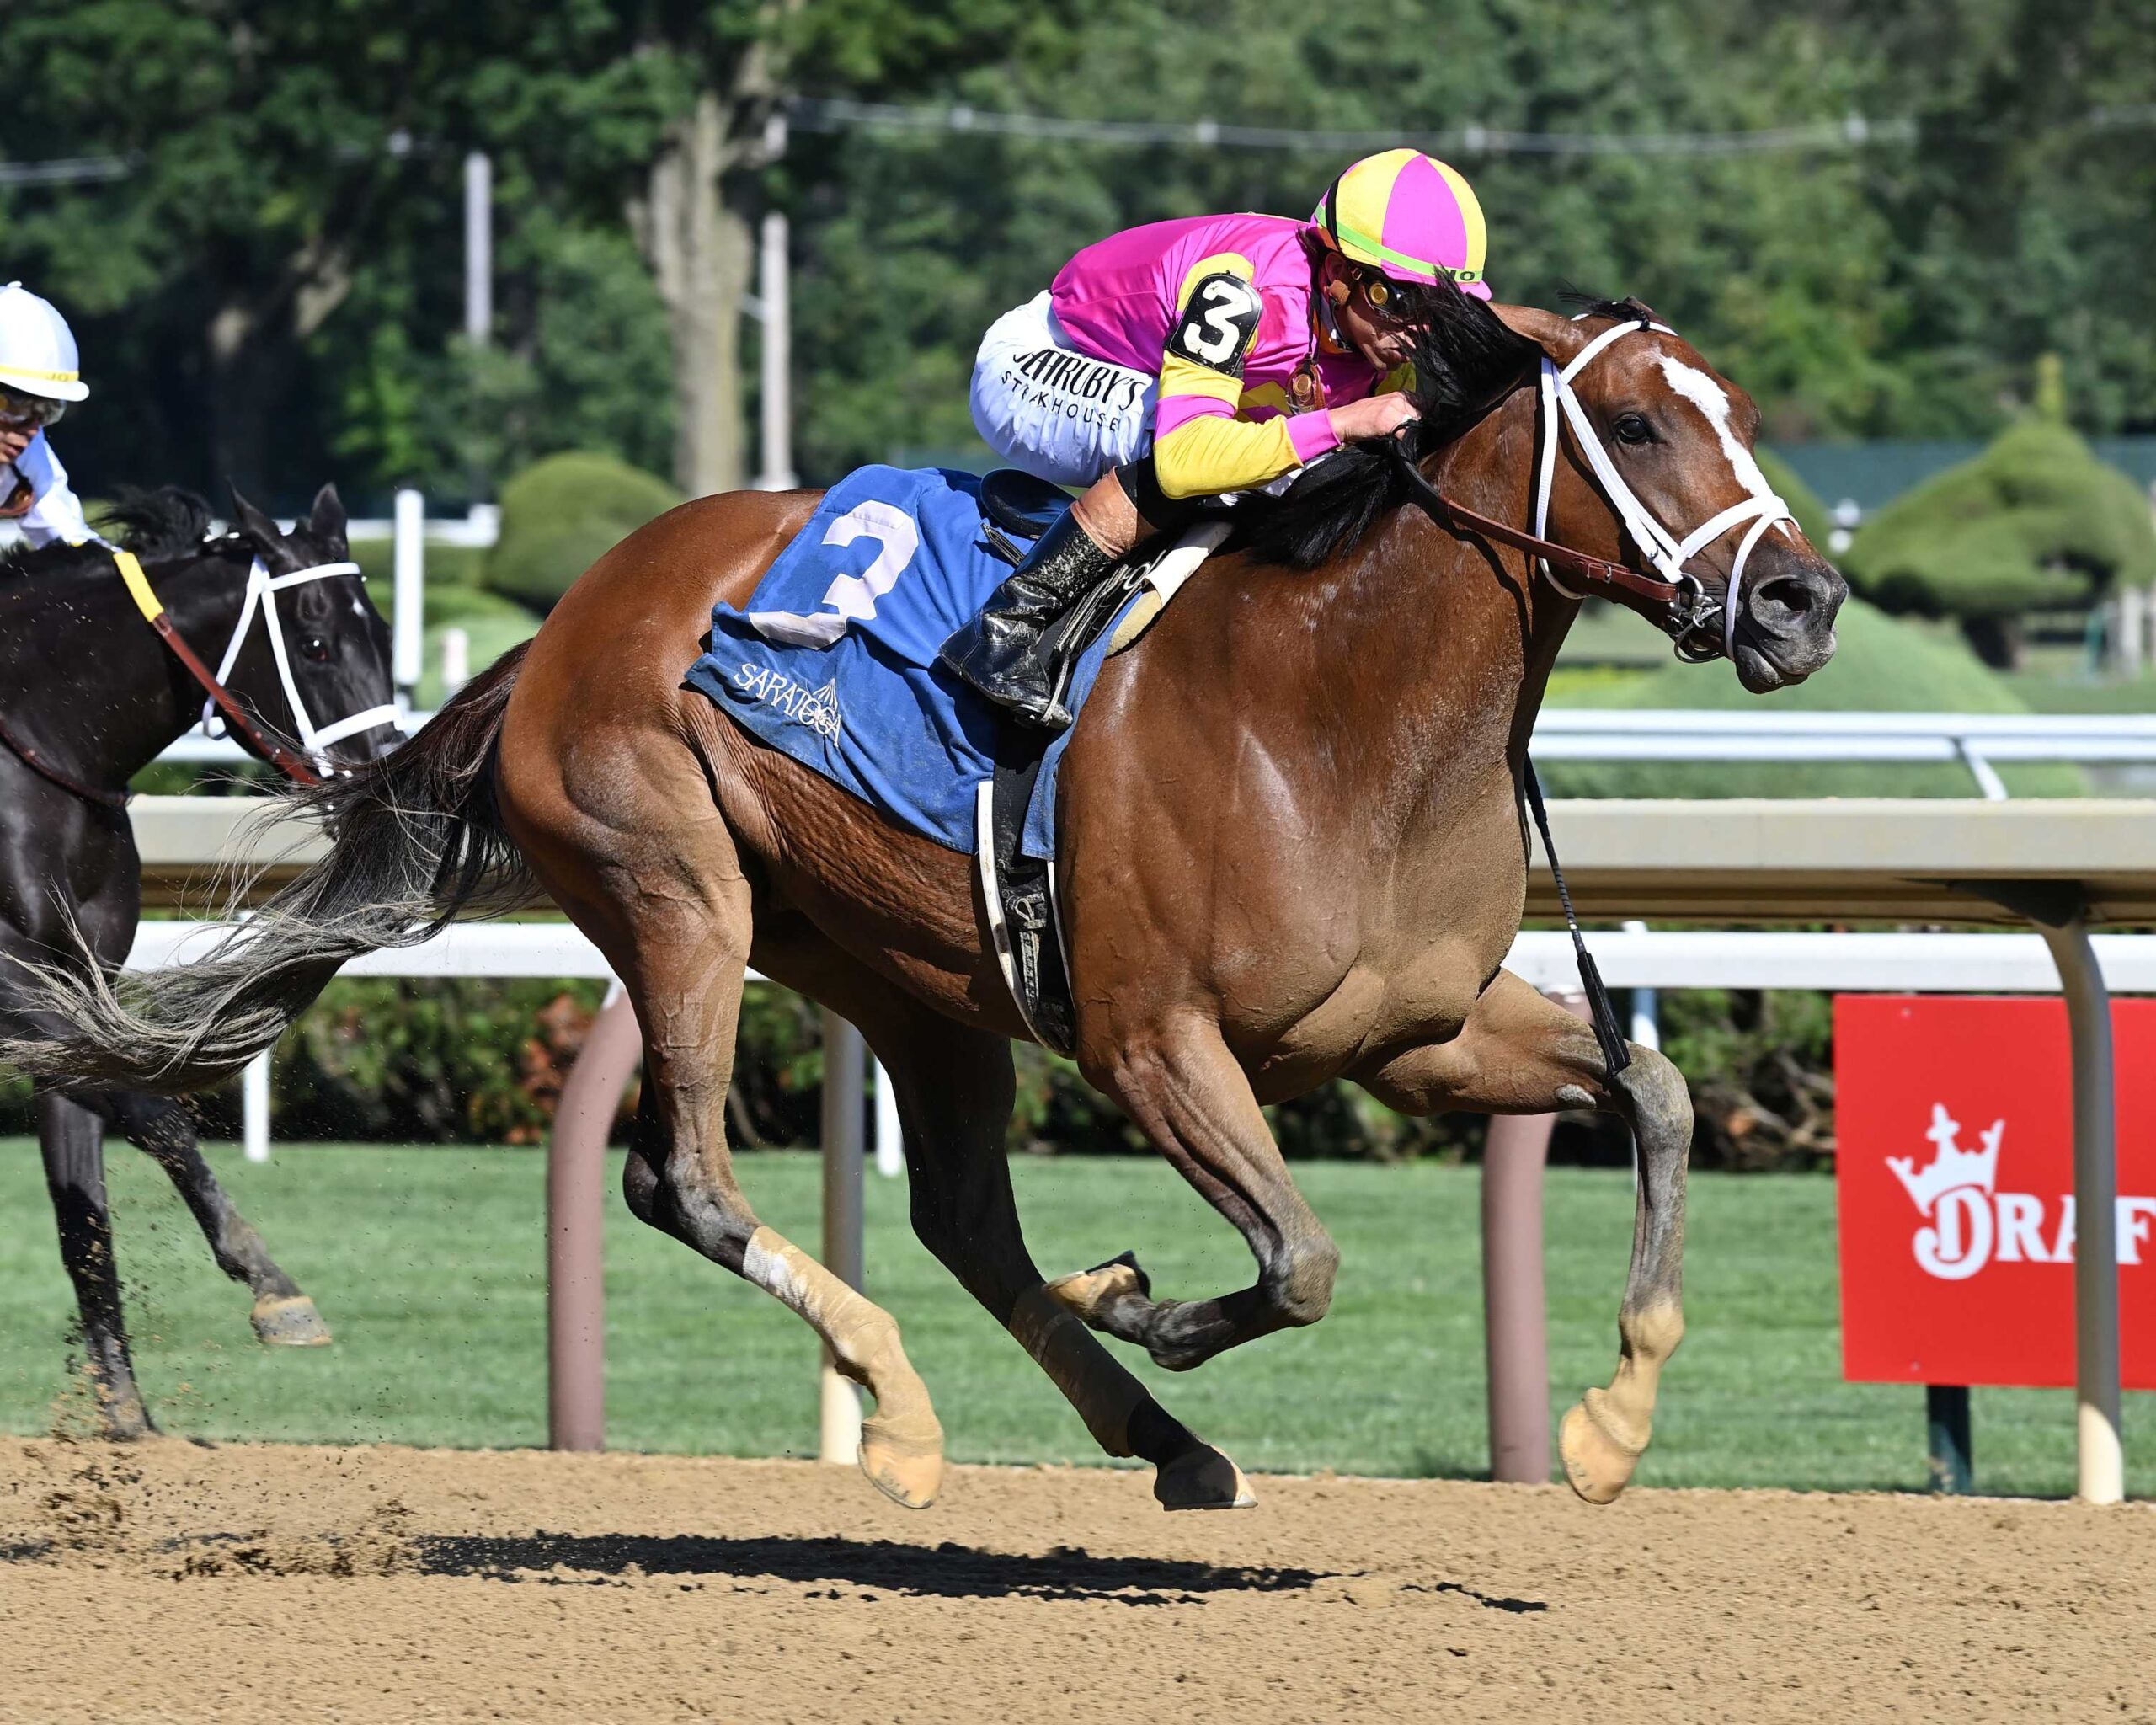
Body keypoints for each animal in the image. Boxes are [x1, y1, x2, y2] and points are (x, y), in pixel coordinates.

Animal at [0, 485, 397, 1436]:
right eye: (316, 643)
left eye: (384, 633)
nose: (383, 784)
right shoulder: (9, 977)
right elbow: (154, 1109)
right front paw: (273, 1285)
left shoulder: (79, 982)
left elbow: (85, 1216)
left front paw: (129, 1422)